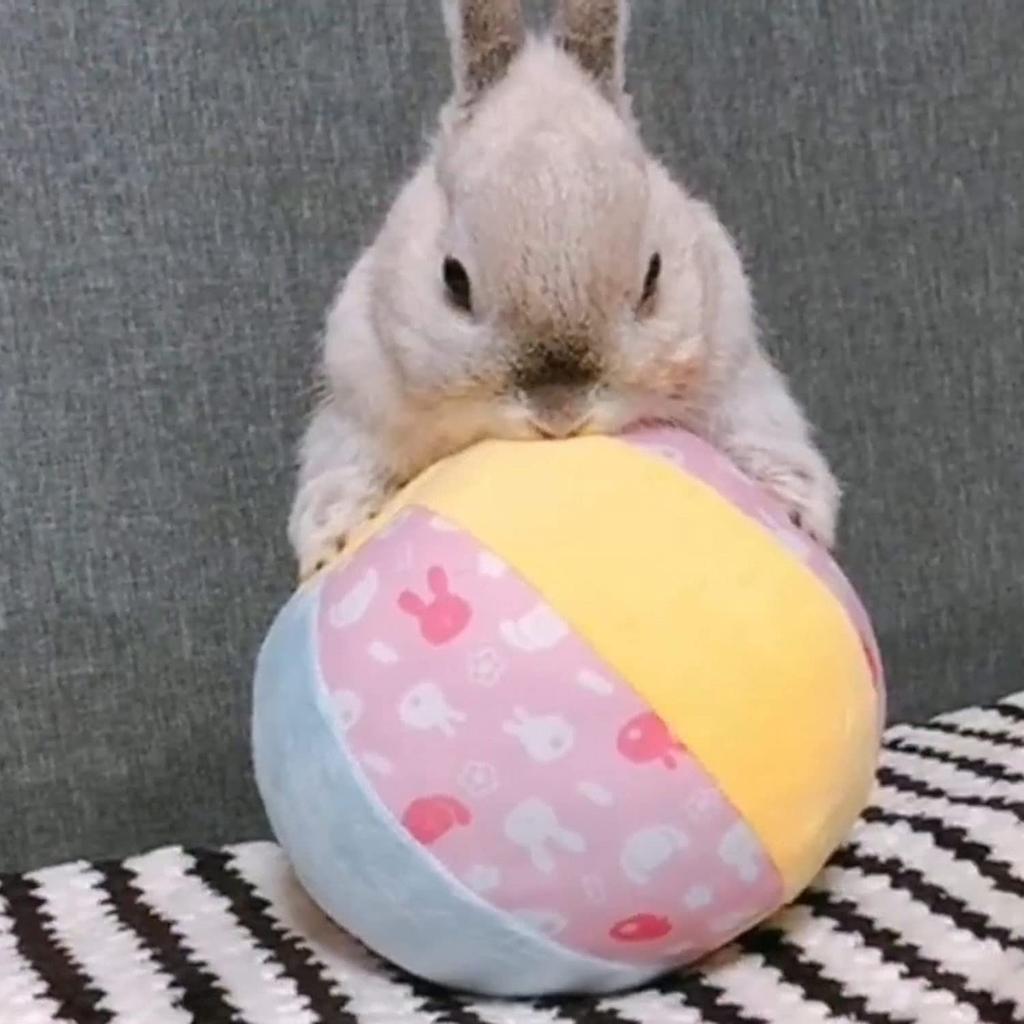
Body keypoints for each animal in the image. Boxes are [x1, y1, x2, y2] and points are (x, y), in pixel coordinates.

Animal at [289, 0, 841, 579]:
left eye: (653, 276)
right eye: (453, 280)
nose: (559, 415)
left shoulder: (739, 384)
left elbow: (769, 444)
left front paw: (798, 516)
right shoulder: (356, 411)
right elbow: (343, 478)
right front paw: (331, 545)